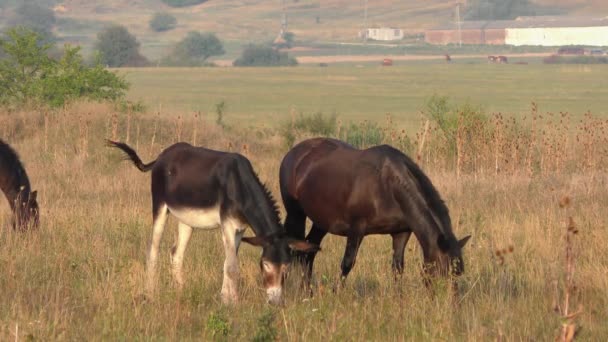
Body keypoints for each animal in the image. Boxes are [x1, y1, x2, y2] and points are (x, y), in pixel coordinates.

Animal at [108, 140, 318, 306]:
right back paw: (150, 293)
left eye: (287, 266)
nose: (275, 302)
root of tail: (162, 156)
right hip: (160, 206)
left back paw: (180, 290)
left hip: (186, 219)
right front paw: (233, 303)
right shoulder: (227, 225)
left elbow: (227, 263)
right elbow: (233, 267)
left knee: (176, 253)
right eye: (265, 264)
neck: (238, 183)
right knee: (153, 249)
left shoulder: (240, 229)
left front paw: (224, 298)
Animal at [280, 138, 470, 290]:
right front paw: (335, 293)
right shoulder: (356, 229)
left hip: (321, 222)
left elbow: (398, 268)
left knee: (309, 251)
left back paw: (307, 291)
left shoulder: (401, 232)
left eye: (457, 274)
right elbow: (347, 263)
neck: (387, 184)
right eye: (442, 271)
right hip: (295, 214)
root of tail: (295, 153)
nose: (448, 304)